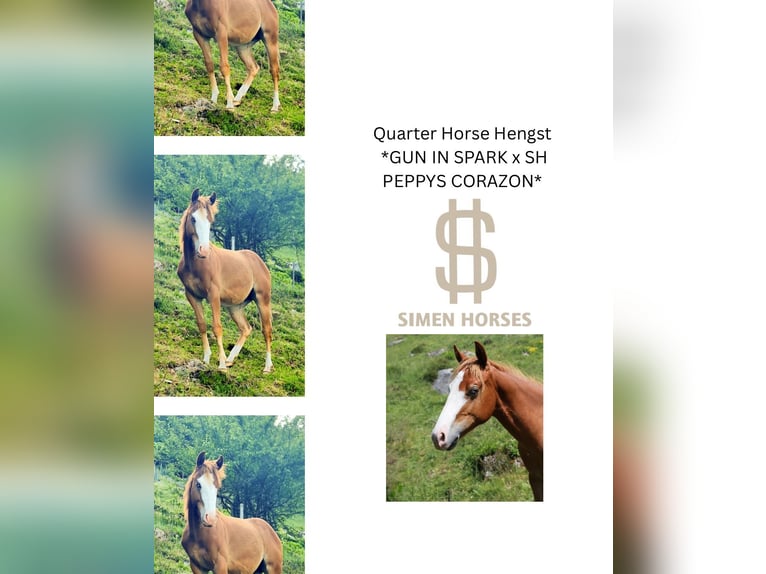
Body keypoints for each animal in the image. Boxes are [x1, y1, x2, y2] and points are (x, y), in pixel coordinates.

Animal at [177, 188, 274, 373]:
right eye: (193, 218)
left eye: (210, 221)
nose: (204, 251)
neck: (196, 264)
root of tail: (260, 262)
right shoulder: (192, 295)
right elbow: (202, 324)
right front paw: (207, 359)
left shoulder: (213, 295)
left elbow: (217, 327)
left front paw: (221, 364)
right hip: (235, 307)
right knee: (246, 328)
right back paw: (230, 359)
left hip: (262, 300)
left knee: (266, 330)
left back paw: (267, 367)